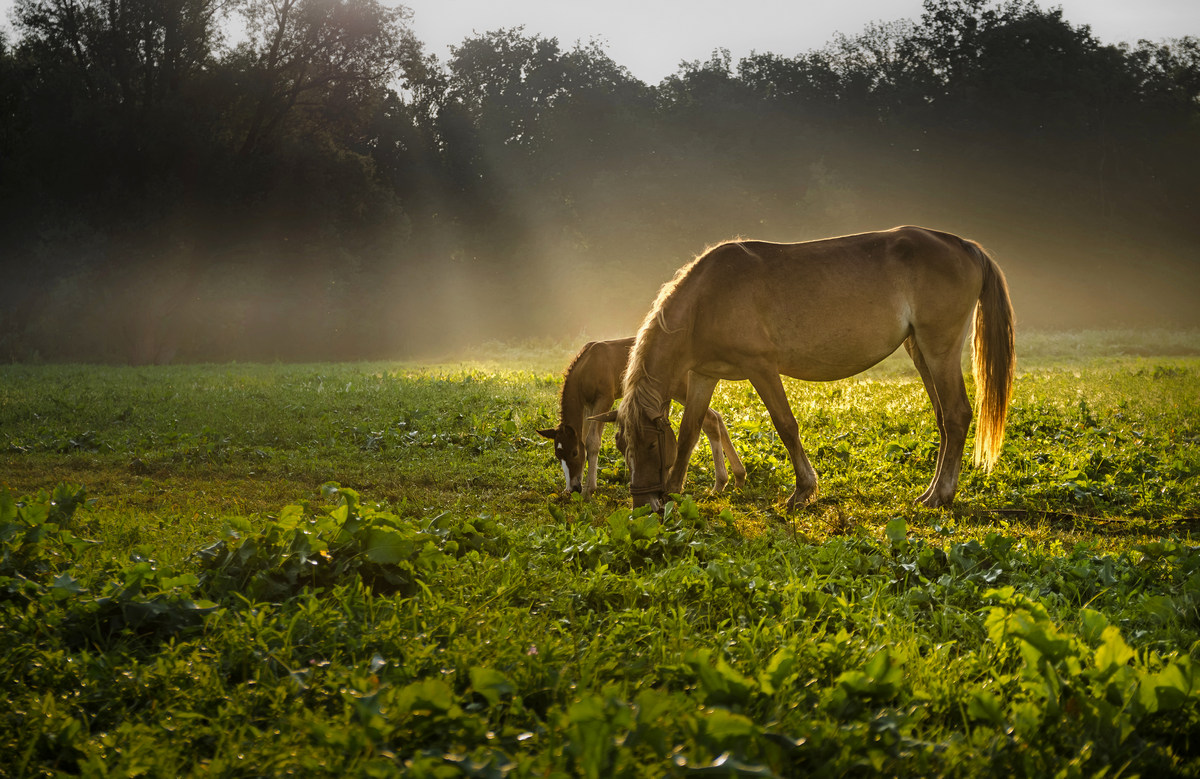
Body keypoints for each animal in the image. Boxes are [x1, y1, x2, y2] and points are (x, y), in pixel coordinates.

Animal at [542, 336, 744, 494]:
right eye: (558, 455)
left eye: (574, 452)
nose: (572, 488)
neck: (587, 364)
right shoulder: (587, 406)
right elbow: (584, 437)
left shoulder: (603, 399)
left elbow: (592, 441)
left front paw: (589, 489)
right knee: (715, 418)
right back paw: (736, 476)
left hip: (683, 389)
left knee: (710, 420)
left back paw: (721, 482)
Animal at [600, 226, 1012, 511]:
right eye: (621, 445)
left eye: (650, 443)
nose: (644, 505)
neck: (707, 298)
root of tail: (965, 246)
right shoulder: (704, 375)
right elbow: (690, 432)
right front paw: (674, 491)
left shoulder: (761, 368)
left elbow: (785, 425)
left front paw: (803, 490)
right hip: (921, 352)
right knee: (944, 419)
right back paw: (932, 491)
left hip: (939, 350)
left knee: (957, 415)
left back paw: (940, 495)